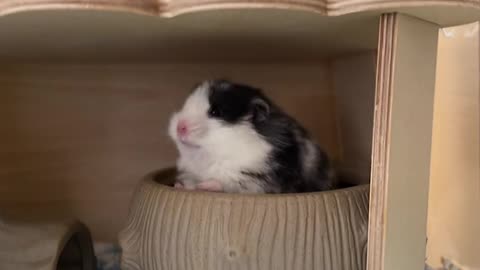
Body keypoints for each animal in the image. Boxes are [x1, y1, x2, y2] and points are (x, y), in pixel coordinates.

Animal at [169, 79, 338, 193]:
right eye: (185, 105)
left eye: (215, 112)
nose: (179, 127)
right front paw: (180, 186)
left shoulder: (256, 180)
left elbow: (226, 183)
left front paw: (203, 185)